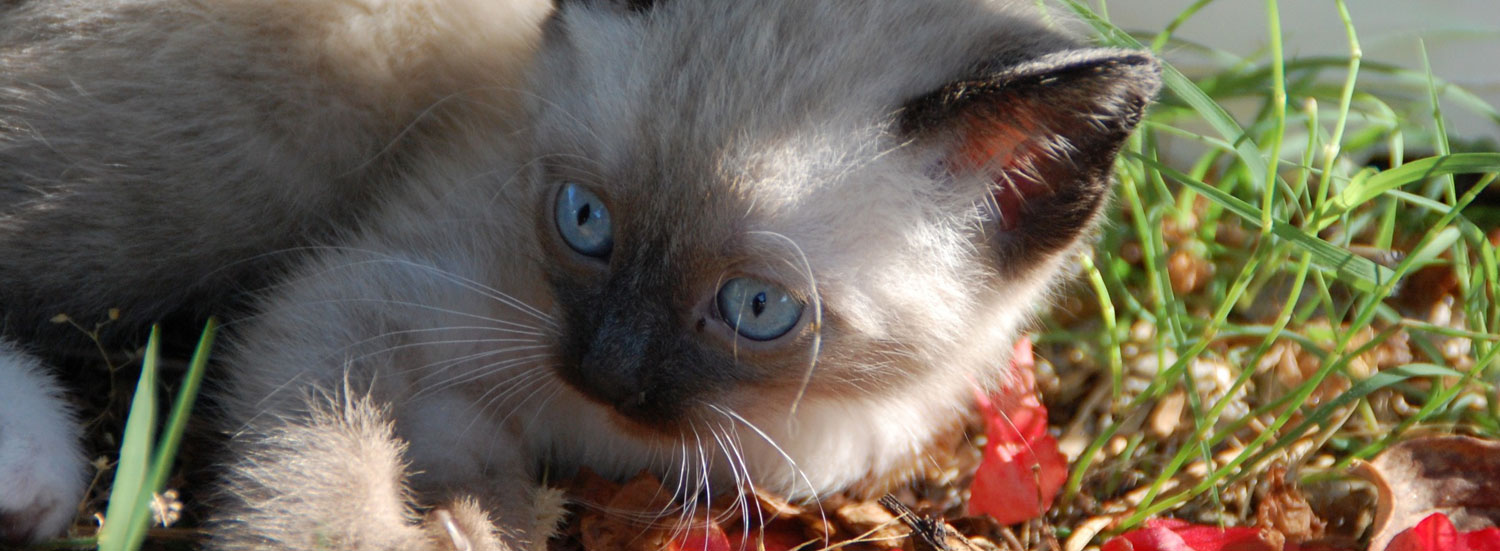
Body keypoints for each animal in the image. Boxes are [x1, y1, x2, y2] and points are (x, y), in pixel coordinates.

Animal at [0, 0, 1158, 549]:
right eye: (585, 219)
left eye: (757, 308)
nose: (605, 368)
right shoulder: (355, 300)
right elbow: (325, 460)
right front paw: (394, 528)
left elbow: (490, 473)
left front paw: (478, 522)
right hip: (236, 166)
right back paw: (37, 475)